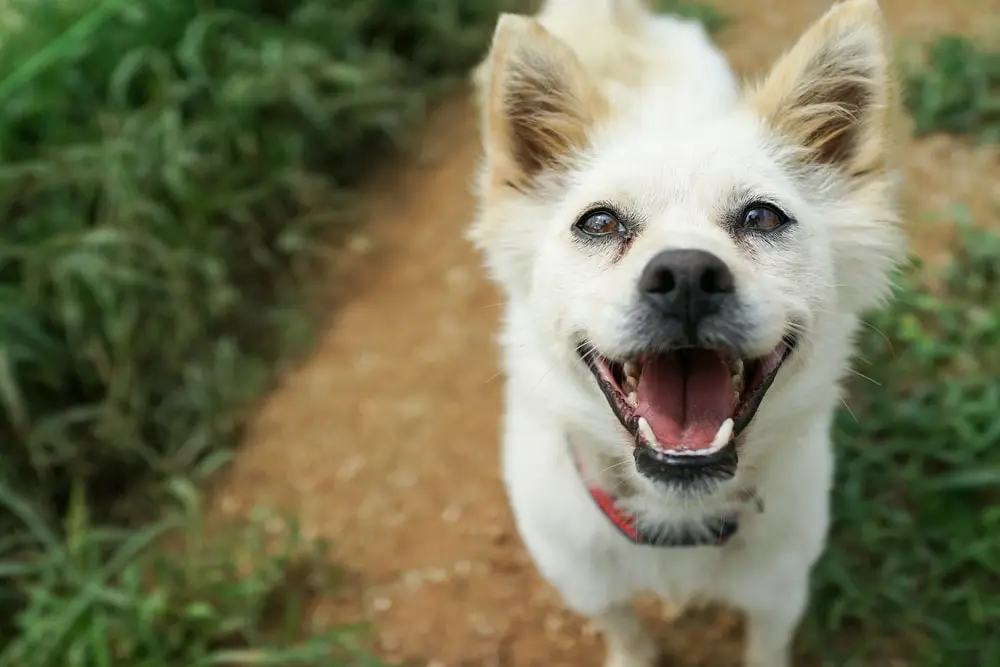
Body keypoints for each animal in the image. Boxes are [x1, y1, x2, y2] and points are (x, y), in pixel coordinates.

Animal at [468, 1, 908, 667]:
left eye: (763, 217)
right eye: (599, 222)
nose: (686, 278)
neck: (677, 515)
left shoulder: (778, 596)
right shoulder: (589, 588)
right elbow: (627, 632)